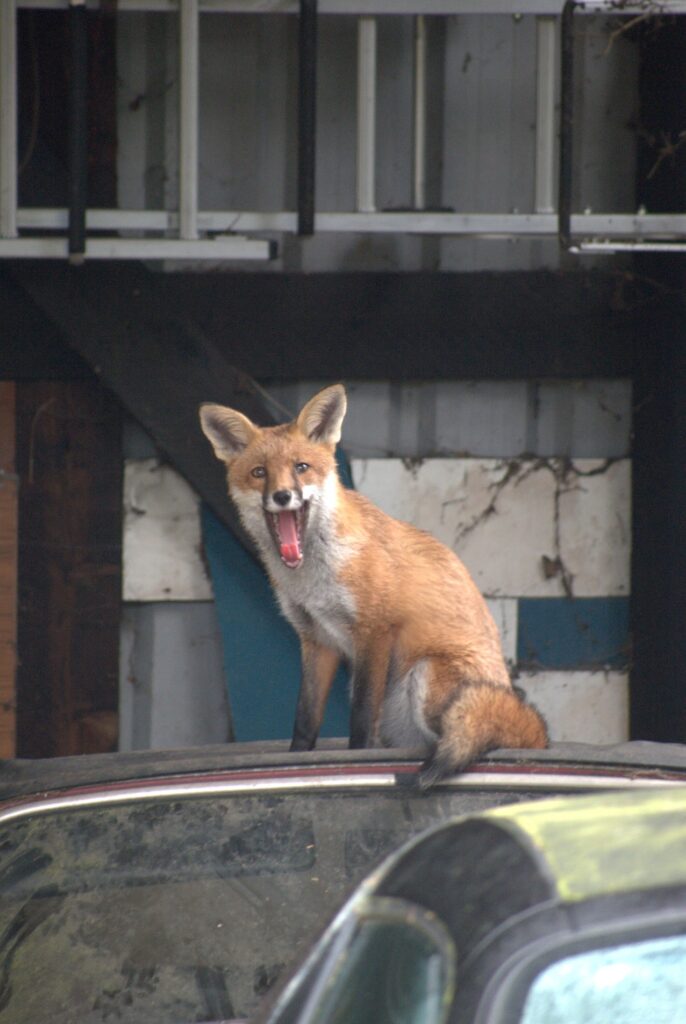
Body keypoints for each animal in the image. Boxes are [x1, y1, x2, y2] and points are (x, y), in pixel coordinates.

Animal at [198, 380, 548, 786]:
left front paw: (357, 760)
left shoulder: (375, 629)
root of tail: (537, 735)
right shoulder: (316, 639)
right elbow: (305, 718)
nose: (282, 496)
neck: (313, 579)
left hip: (427, 677)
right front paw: (295, 759)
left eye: (301, 468)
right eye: (259, 472)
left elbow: (362, 717)